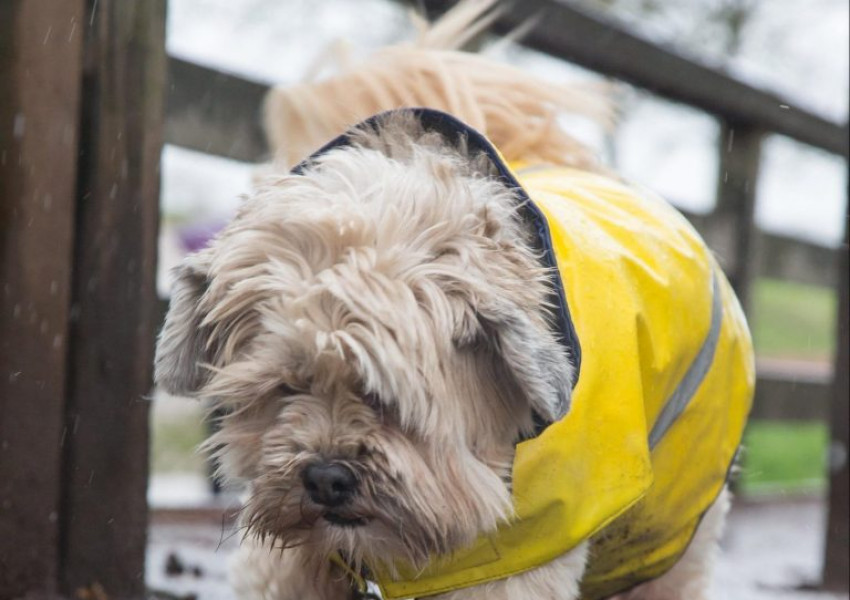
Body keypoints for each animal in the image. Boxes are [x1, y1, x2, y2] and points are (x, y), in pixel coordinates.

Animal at [156, 2, 752, 596]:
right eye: (285, 386)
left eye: (390, 399)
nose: (325, 478)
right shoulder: (285, 564)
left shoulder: (512, 561)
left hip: (676, 515)